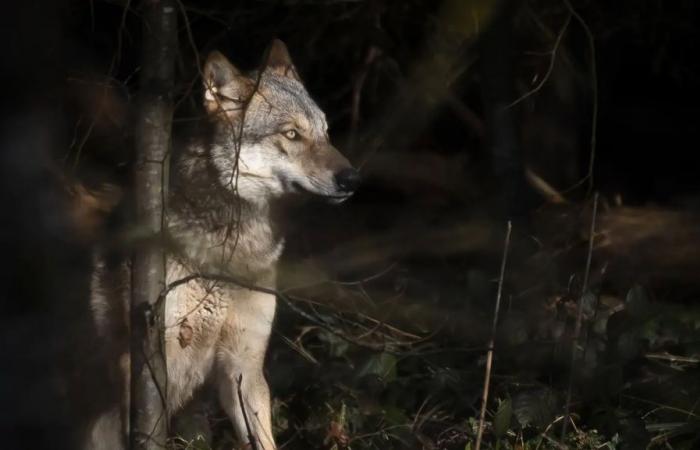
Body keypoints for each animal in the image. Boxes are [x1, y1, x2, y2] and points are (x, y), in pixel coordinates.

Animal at [86, 40, 360, 448]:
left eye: (326, 132)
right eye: (291, 134)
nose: (352, 179)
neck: (232, 251)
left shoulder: (242, 366)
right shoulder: (145, 368)